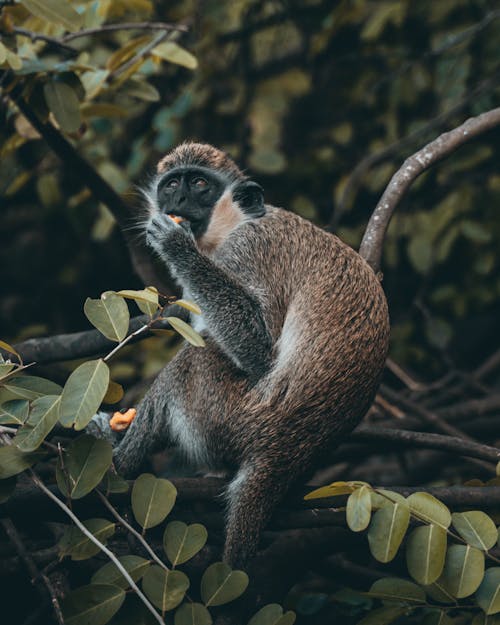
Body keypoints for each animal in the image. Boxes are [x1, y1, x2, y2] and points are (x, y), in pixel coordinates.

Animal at [94, 144, 390, 568]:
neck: (237, 224)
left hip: (230, 416)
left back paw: (121, 462)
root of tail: (286, 447)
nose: (177, 202)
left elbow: (260, 352)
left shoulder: (250, 248)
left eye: (199, 183)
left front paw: (178, 248)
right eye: (171, 185)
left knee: (191, 363)